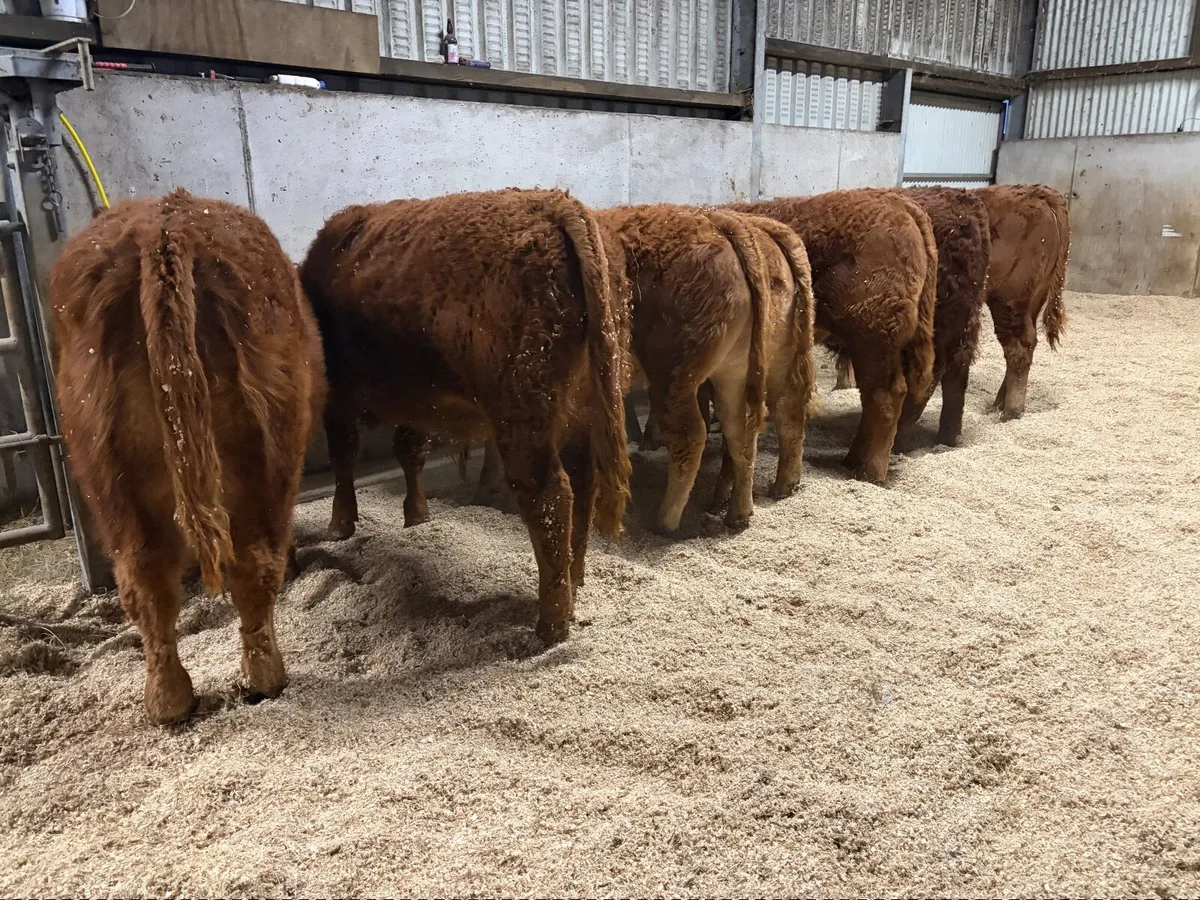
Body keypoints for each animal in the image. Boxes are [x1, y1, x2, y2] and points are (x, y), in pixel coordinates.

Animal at [50, 189, 326, 725]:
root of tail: (164, 226)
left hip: (118, 481)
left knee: (150, 582)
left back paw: (174, 701)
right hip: (262, 465)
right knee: (248, 566)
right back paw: (260, 680)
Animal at [298, 189, 631, 646]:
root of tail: (556, 205)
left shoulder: (338, 390)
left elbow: (343, 455)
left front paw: (339, 525)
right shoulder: (416, 398)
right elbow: (410, 450)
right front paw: (416, 515)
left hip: (523, 414)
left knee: (549, 496)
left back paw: (551, 622)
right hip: (581, 410)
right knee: (583, 486)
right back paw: (575, 579)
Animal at [730, 190, 937, 483]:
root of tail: (900, 204)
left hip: (873, 336)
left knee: (885, 396)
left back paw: (871, 472)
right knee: (875, 398)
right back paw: (853, 461)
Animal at [832, 187, 992, 447]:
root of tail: (964, 199)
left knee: (926, 379)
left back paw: (897, 440)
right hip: (961, 325)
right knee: (955, 373)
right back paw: (948, 438)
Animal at [976, 184, 1070, 420]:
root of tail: (1039, 192)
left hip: (1008, 299)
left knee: (1018, 347)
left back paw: (1010, 410)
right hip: (1032, 301)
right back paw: (1001, 403)